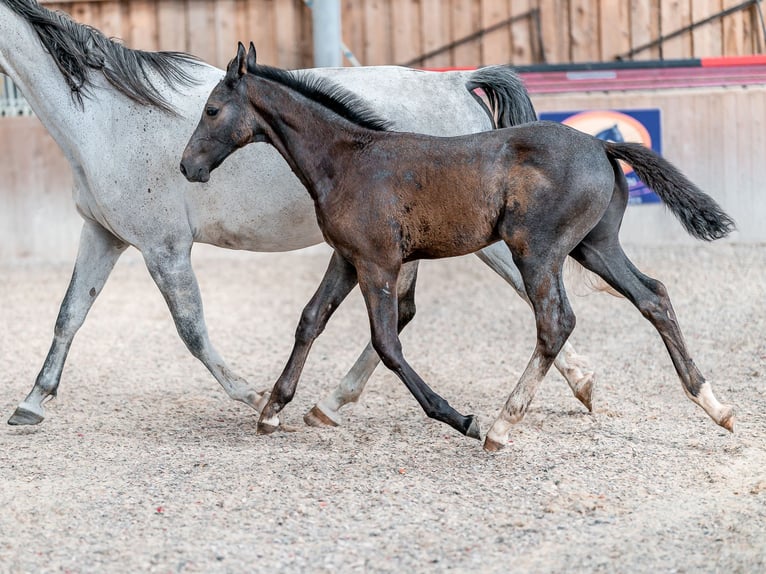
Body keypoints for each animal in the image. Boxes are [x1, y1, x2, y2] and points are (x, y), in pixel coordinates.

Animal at [182, 44, 736, 450]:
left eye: (212, 109)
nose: (187, 166)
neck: (349, 160)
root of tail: (602, 143)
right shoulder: (347, 257)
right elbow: (310, 320)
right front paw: (272, 410)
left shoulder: (377, 263)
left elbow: (387, 342)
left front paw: (457, 417)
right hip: (595, 247)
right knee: (653, 296)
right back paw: (716, 407)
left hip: (537, 251)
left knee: (556, 322)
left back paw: (501, 426)